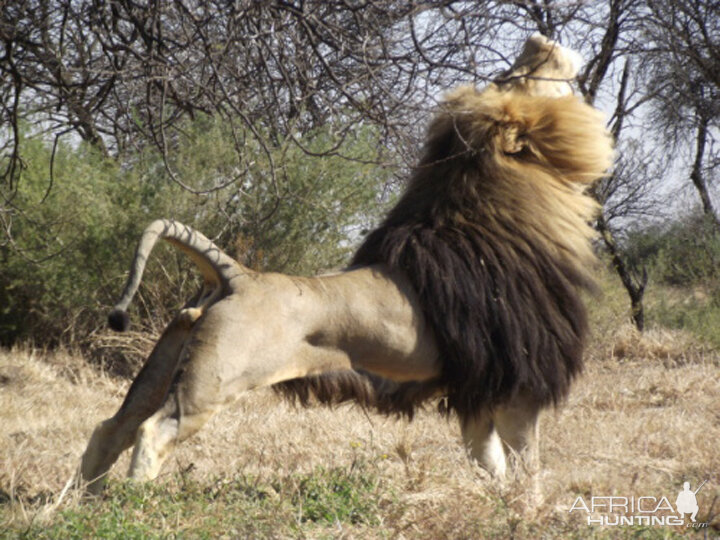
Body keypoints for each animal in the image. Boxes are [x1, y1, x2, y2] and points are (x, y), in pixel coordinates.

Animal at [81, 35, 616, 494]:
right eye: (518, 76)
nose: (536, 40)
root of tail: (238, 274)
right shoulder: (519, 387)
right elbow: (528, 468)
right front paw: (532, 512)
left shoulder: (478, 390)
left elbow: (492, 465)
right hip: (211, 383)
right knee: (152, 431)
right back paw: (133, 505)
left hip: (166, 364)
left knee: (111, 429)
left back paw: (84, 507)